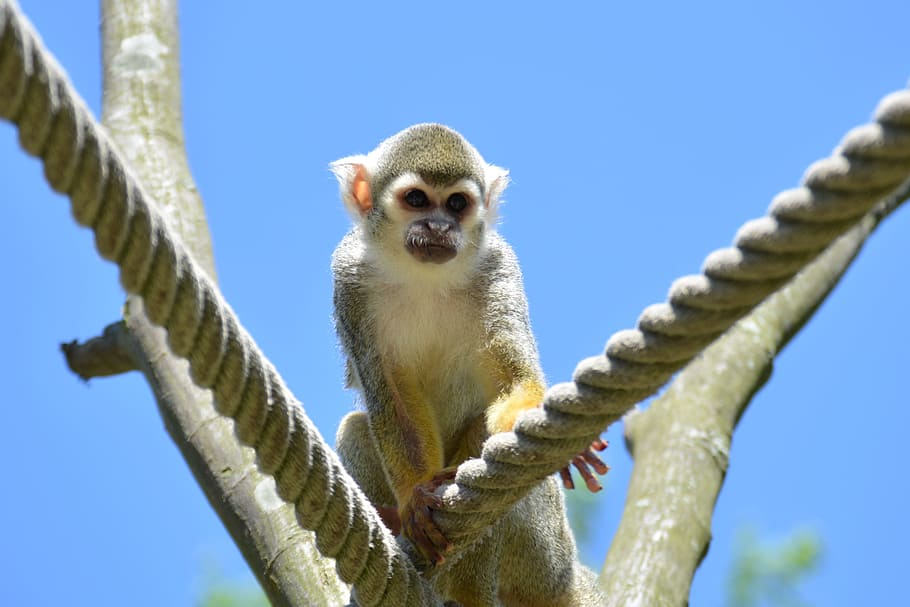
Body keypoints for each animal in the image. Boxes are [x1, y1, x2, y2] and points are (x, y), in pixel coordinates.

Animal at [331, 124, 607, 606]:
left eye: (457, 204)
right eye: (417, 200)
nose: (440, 226)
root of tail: (567, 577)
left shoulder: (499, 267)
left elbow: (515, 377)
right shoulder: (348, 279)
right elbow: (390, 395)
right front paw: (416, 497)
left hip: (542, 551)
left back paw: (467, 592)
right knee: (356, 426)